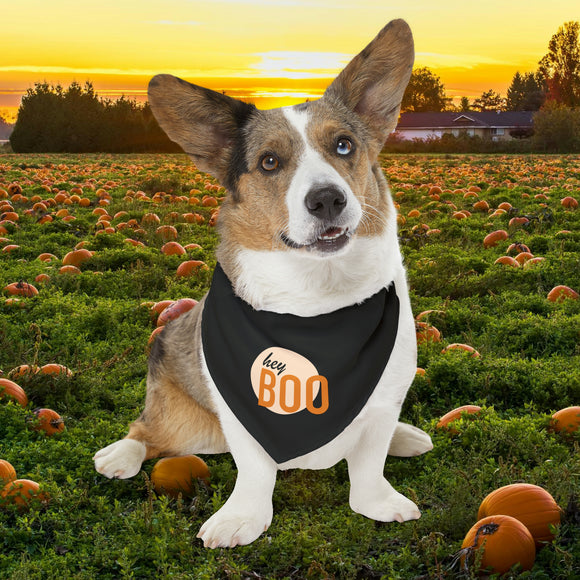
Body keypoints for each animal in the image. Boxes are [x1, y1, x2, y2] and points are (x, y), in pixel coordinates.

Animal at [94, 19, 430, 548]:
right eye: (269, 162)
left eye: (344, 145)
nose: (328, 200)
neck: (317, 300)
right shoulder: (240, 412)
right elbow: (253, 471)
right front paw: (241, 519)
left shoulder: (384, 397)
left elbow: (369, 462)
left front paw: (378, 501)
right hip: (187, 425)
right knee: (148, 431)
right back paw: (120, 454)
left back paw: (405, 436)